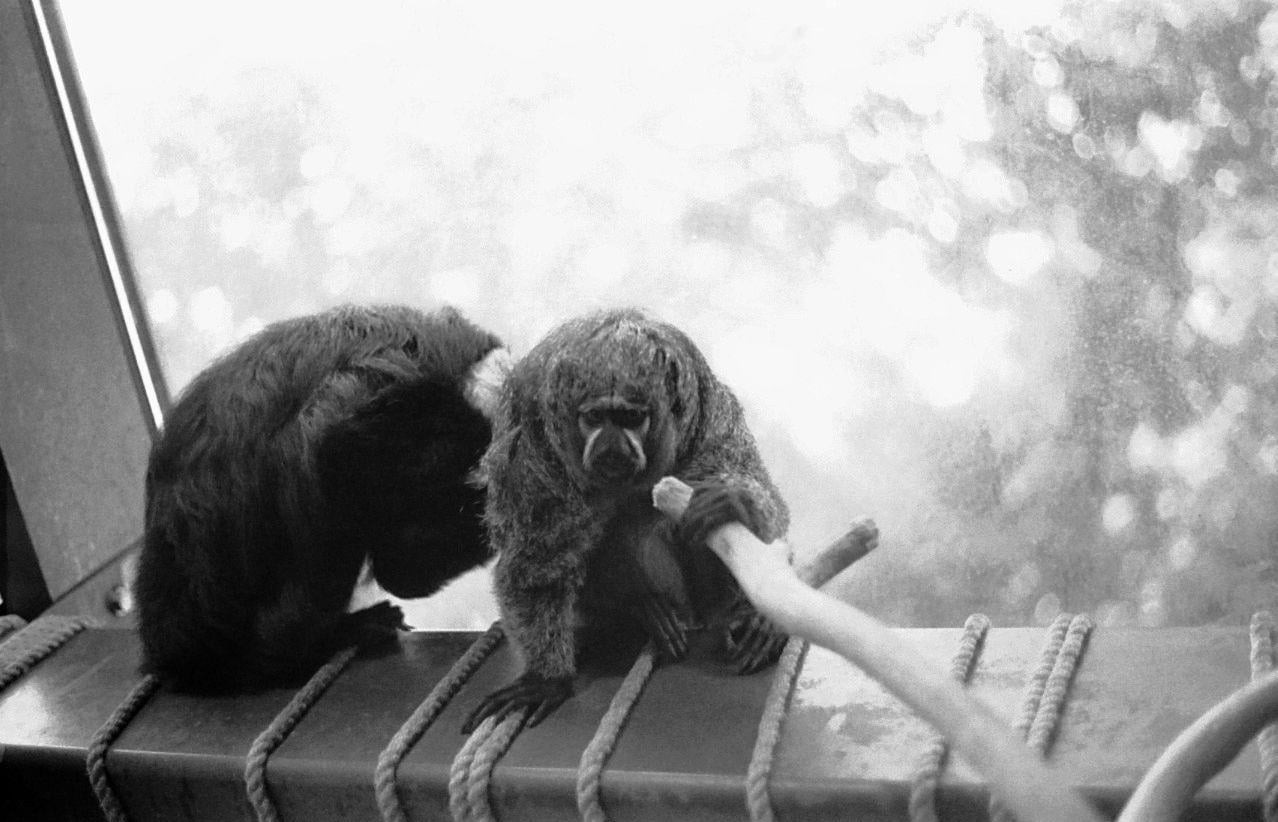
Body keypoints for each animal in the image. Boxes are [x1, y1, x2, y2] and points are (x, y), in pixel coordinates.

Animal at [462, 308, 789, 732]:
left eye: (631, 418)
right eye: (595, 417)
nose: (612, 444)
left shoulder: (710, 413)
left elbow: (766, 510)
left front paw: (735, 503)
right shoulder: (531, 443)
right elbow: (536, 564)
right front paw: (547, 678)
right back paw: (644, 609)